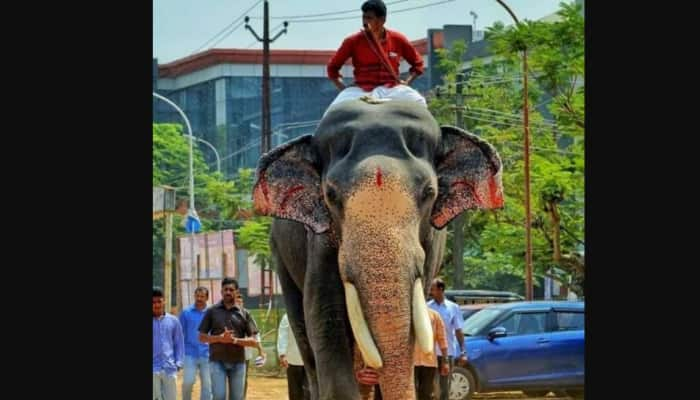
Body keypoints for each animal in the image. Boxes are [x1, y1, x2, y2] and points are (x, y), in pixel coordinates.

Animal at [252, 99, 504, 400]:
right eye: (330, 195)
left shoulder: (430, 245)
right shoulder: (319, 240)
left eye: (429, 192)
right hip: (280, 253)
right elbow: (325, 316)